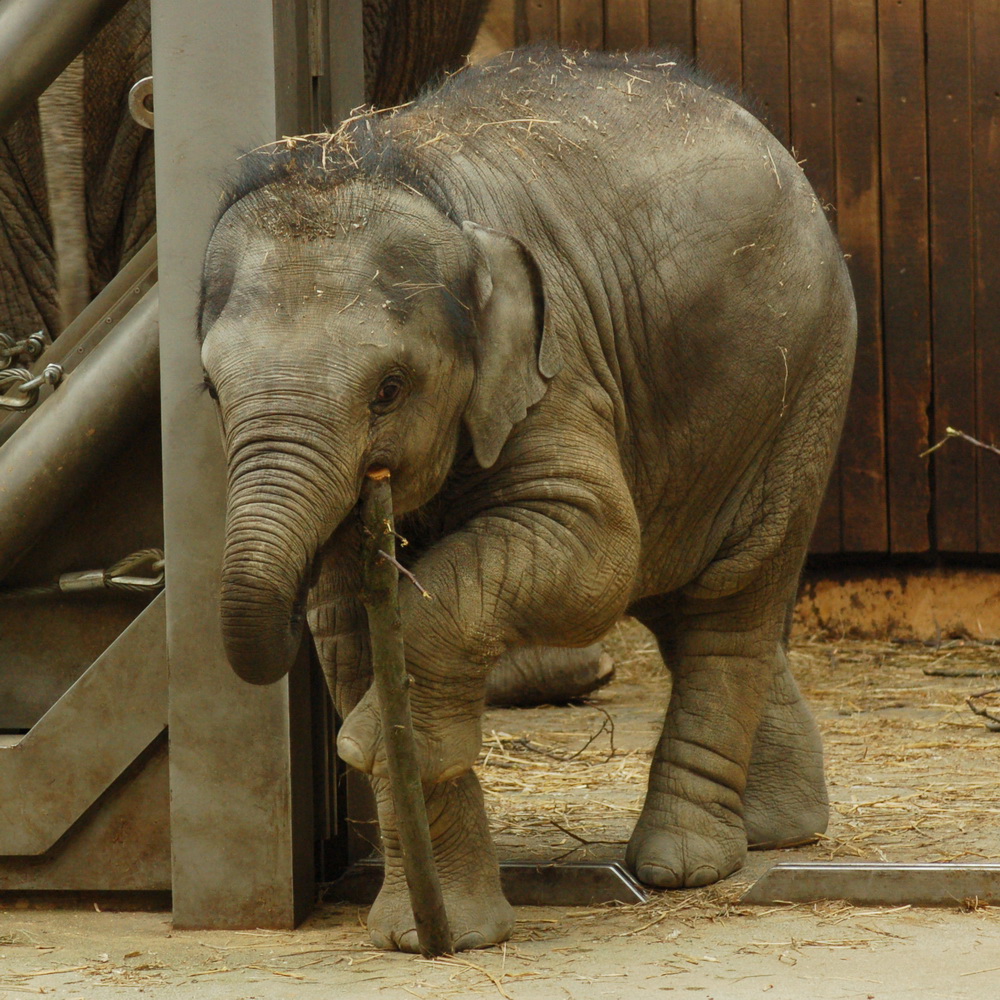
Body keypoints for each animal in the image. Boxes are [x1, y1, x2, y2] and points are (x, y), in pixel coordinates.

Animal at [211, 46, 858, 951]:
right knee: (688, 605)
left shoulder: (559, 367)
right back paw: (780, 829)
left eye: (387, 390)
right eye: (209, 389)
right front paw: (432, 935)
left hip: (804, 381)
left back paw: (684, 864)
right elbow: (343, 623)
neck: (404, 171)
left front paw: (381, 737)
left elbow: (595, 553)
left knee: (729, 602)